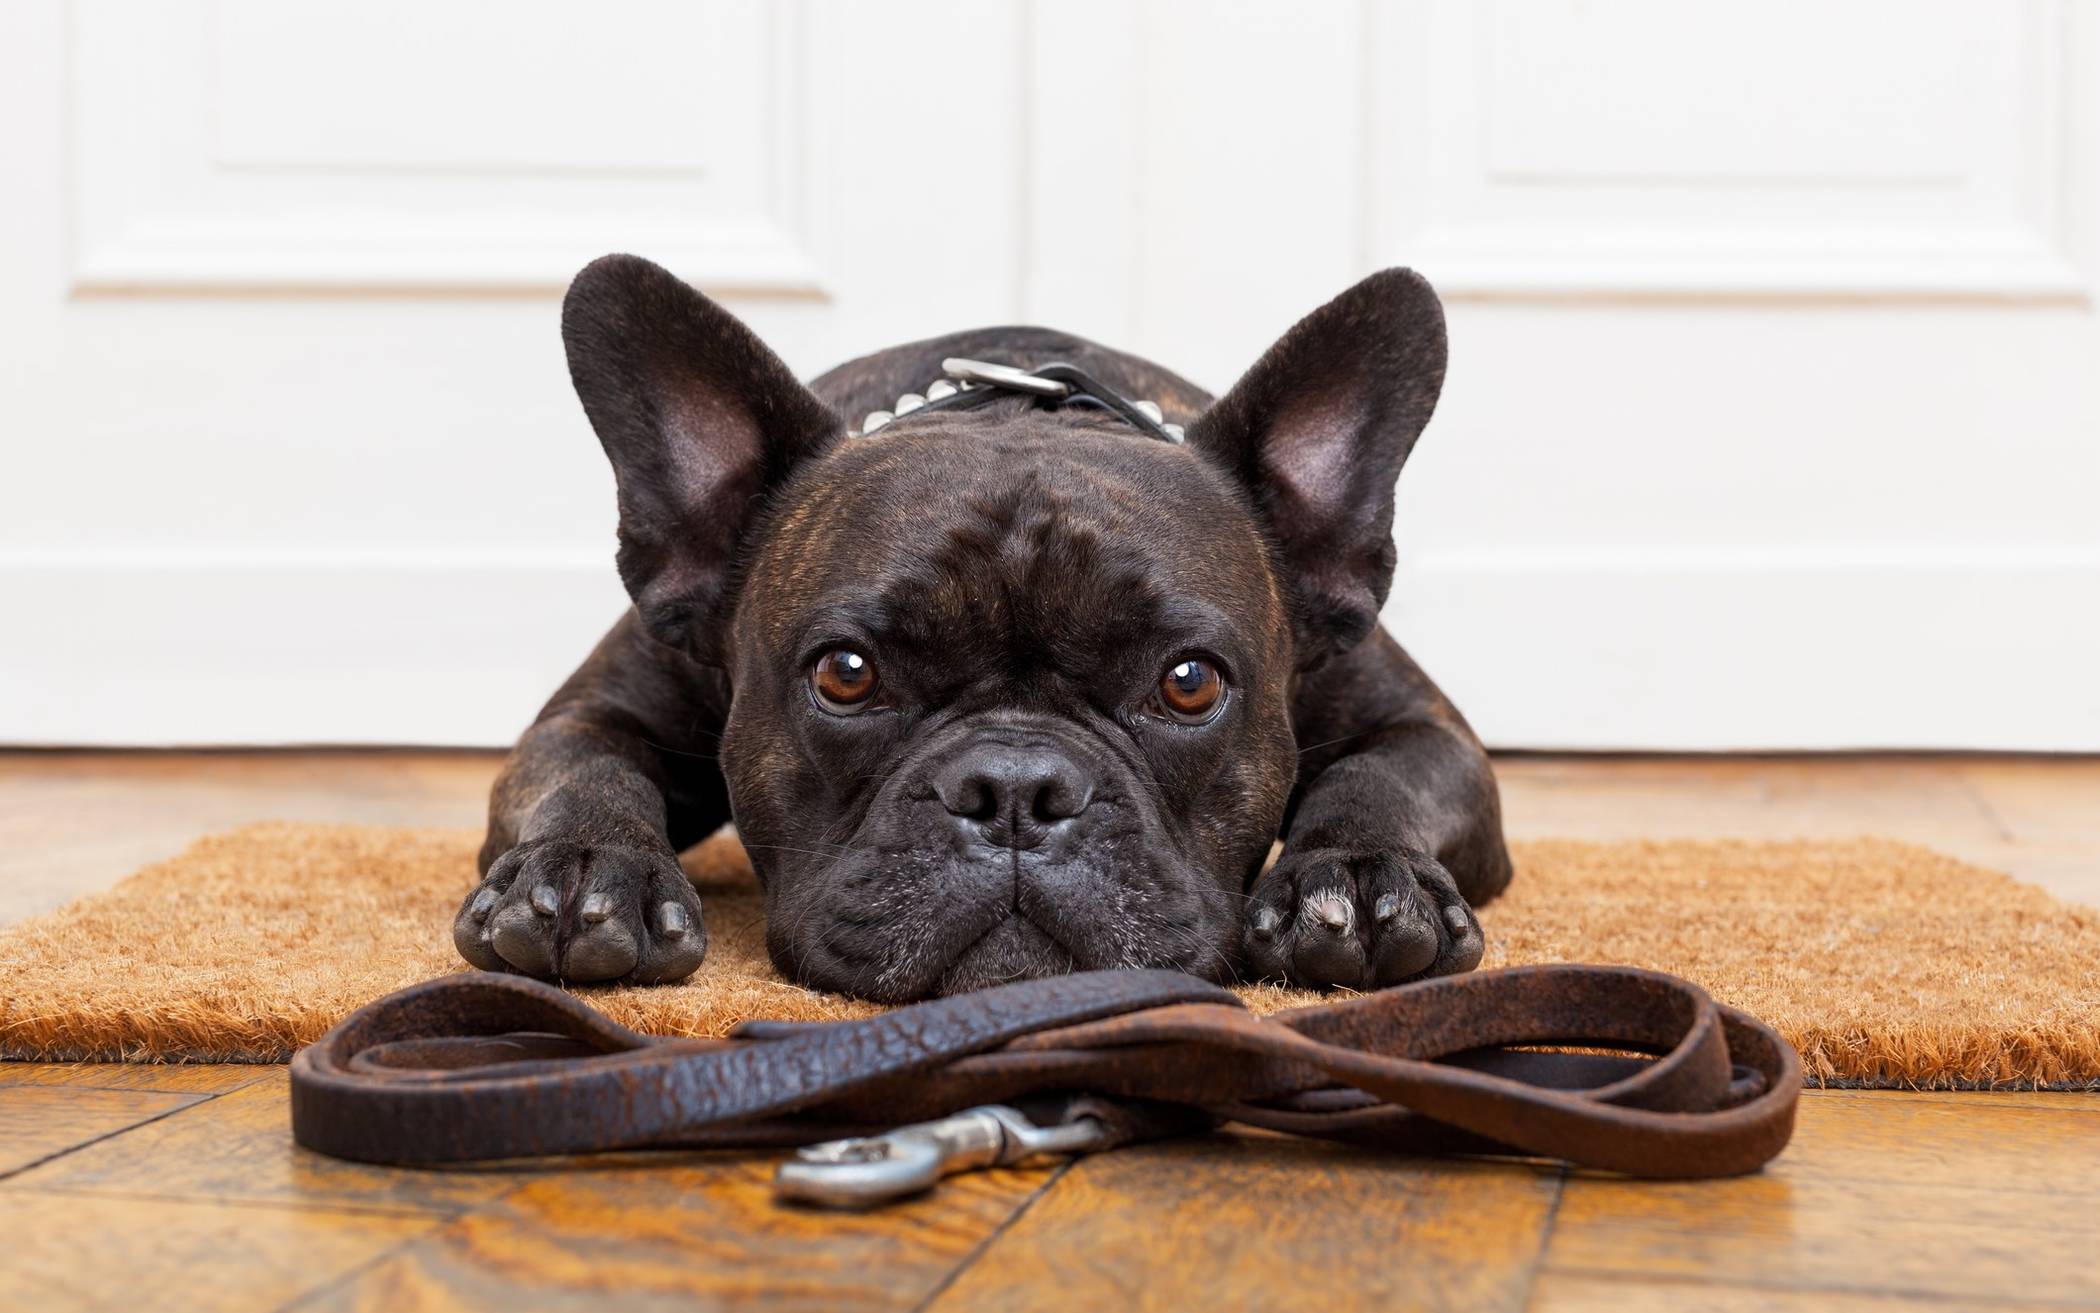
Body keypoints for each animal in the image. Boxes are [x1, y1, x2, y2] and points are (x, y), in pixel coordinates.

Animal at [459, 253, 1511, 991]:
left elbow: (1381, 775)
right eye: (845, 673)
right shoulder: (593, 714)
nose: (1014, 788)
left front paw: (1363, 878)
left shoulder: (1426, 729)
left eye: (1189, 682)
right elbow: (588, 769)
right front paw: (590, 867)